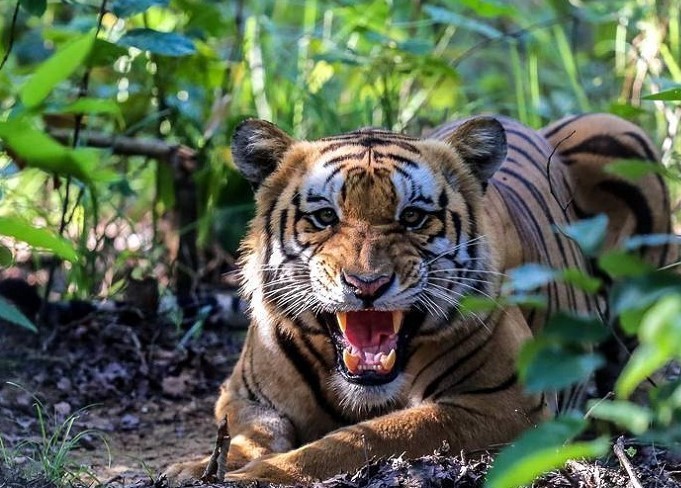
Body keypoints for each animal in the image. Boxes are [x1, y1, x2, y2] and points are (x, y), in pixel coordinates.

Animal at [164, 113, 677, 484]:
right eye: (325, 217)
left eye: (412, 217)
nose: (366, 284)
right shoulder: (243, 395)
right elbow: (250, 435)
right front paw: (196, 468)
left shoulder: (501, 403)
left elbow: (361, 439)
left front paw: (254, 476)